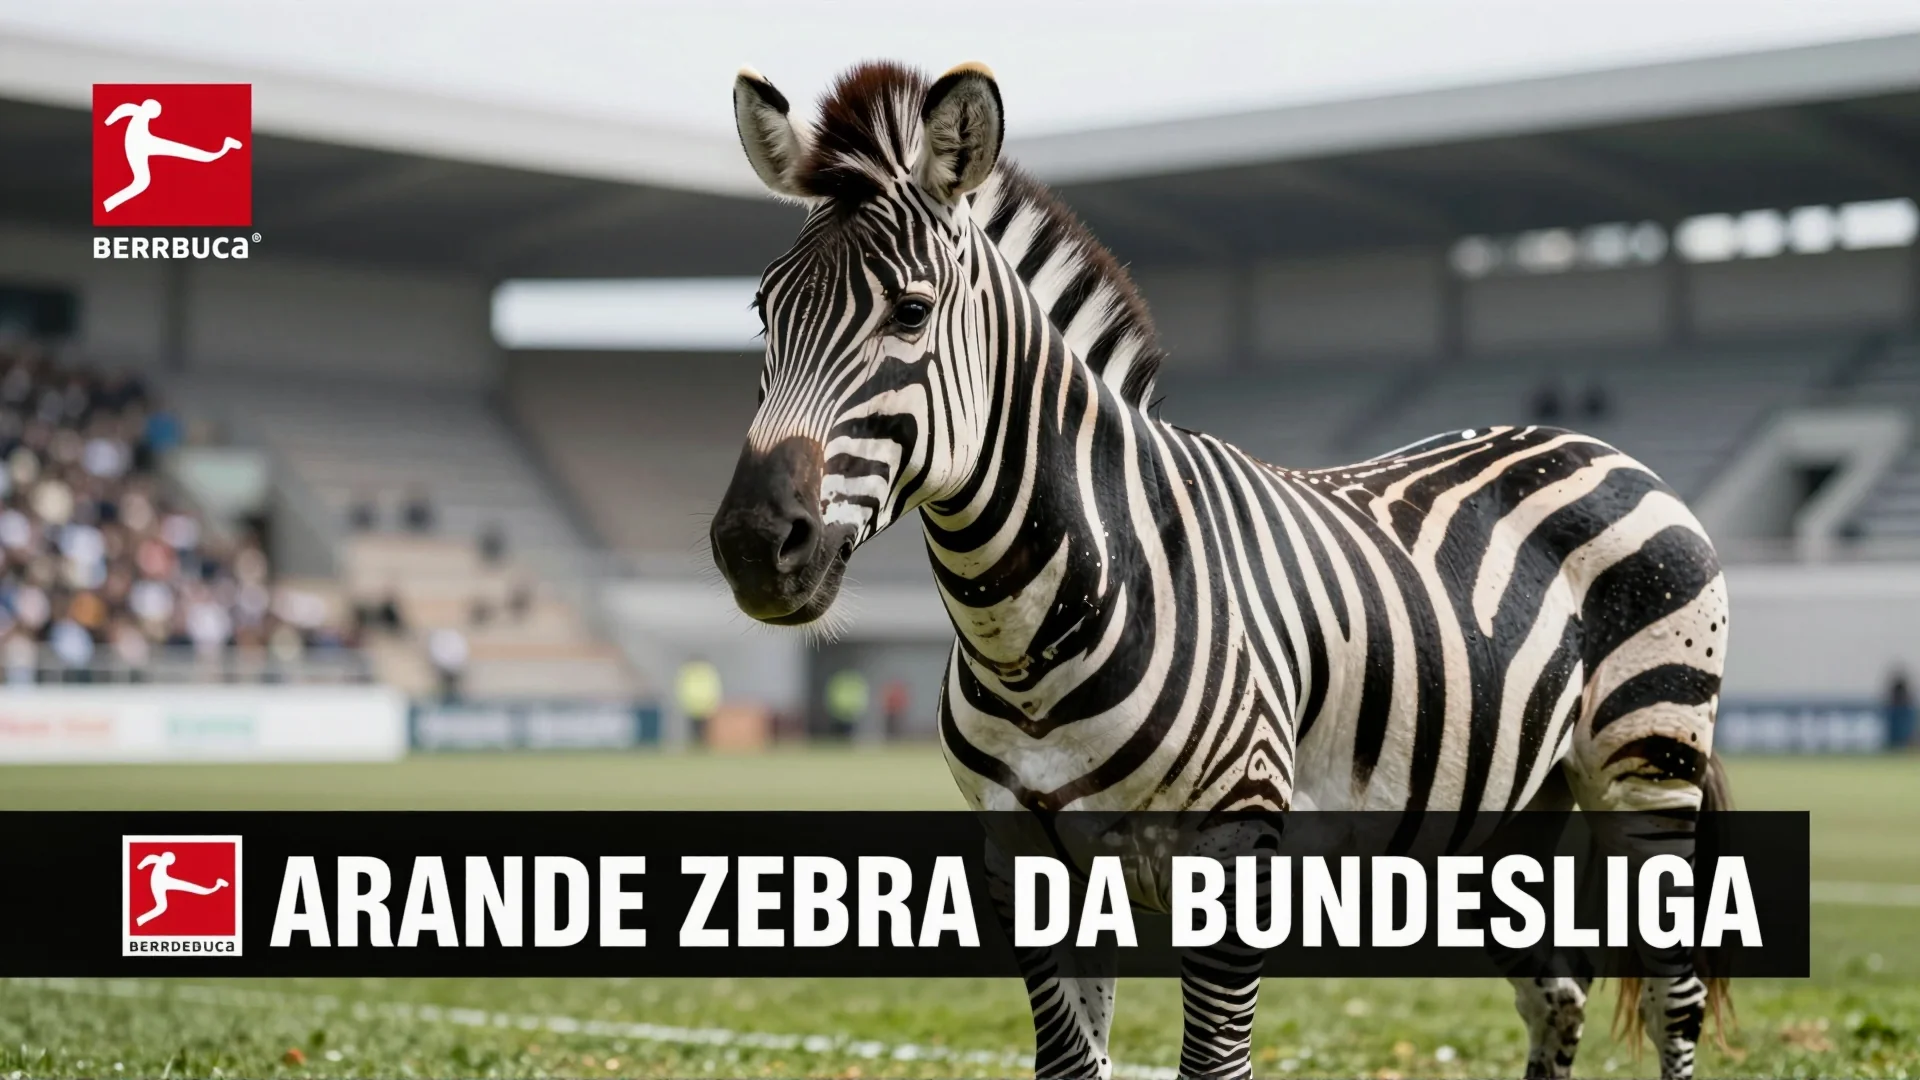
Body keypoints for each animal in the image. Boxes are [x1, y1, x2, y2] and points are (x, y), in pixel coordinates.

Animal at [708, 60, 1731, 1080]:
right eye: (764, 313)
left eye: (912, 312)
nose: (754, 546)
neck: (1035, 629)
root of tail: (1590, 443)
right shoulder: (1024, 861)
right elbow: (1070, 1063)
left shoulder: (1236, 854)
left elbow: (1212, 1064)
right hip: (1498, 811)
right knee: (1556, 992)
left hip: (1647, 763)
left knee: (1672, 997)